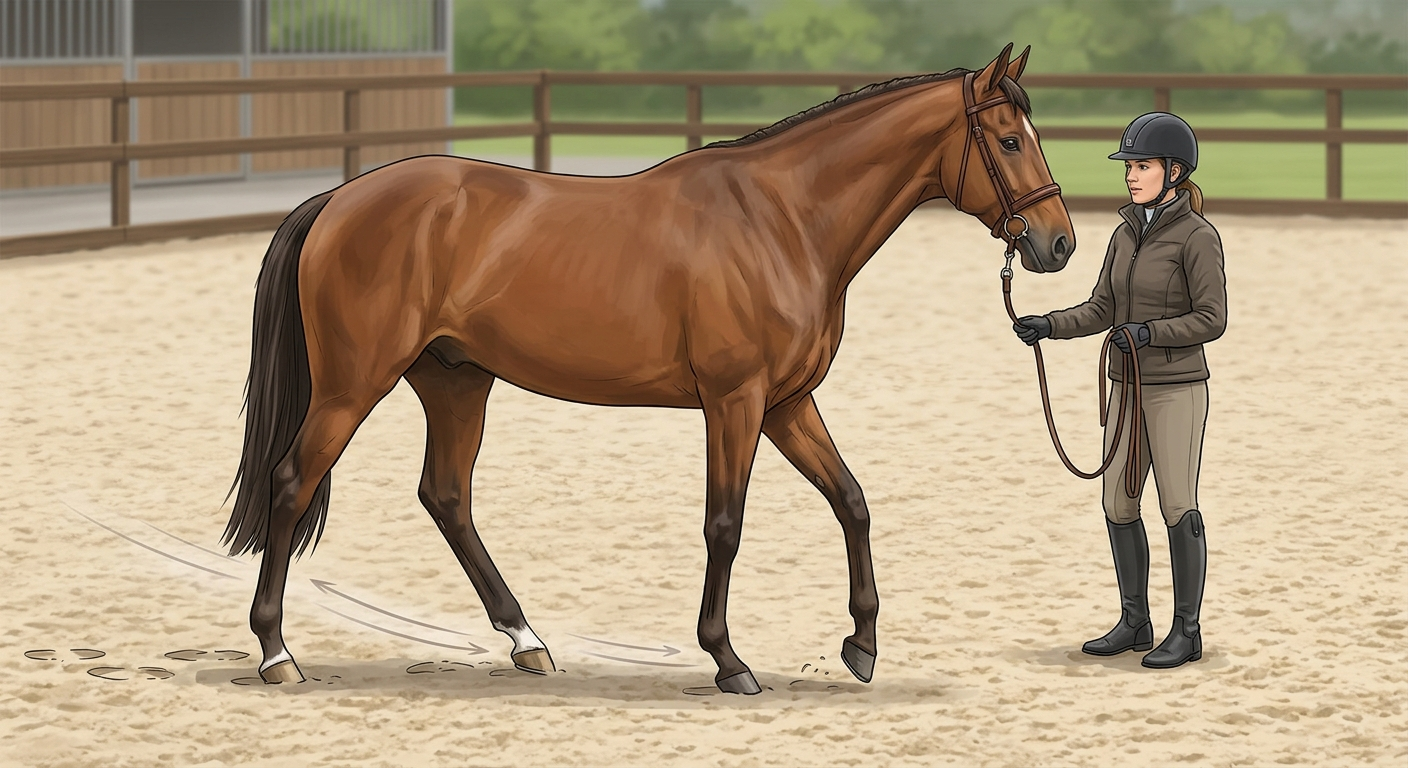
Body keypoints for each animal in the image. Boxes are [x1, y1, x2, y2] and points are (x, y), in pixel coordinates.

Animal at [224, 43, 1074, 695]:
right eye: (1008, 140)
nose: (1058, 244)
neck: (783, 219)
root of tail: (340, 198)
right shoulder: (736, 402)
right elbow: (725, 525)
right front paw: (729, 661)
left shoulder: (788, 403)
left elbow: (852, 502)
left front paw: (860, 647)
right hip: (352, 384)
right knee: (293, 482)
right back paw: (276, 653)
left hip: (456, 379)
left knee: (447, 496)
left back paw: (527, 642)